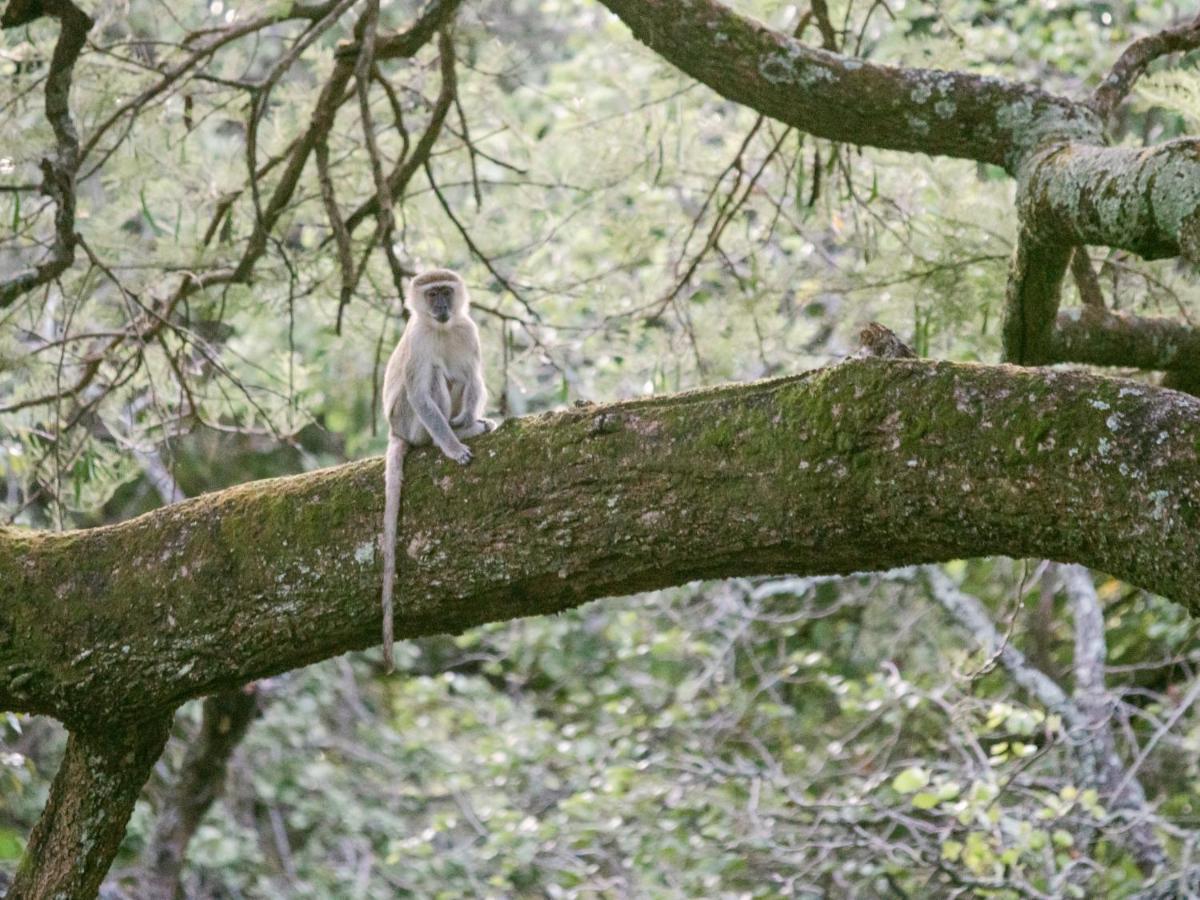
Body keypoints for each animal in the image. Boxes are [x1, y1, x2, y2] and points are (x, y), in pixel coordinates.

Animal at [384, 271, 496, 672]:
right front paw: (452, 447)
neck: (441, 328)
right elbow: (420, 393)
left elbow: (474, 376)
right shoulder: (417, 337)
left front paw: (469, 418)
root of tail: (397, 432)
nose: (443, 306)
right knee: (431, 378)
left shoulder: (468, 328)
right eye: (432, 295)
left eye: (446, 292)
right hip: (408, 421)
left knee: (460, 376)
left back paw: (469, 424)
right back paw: (451, 437)